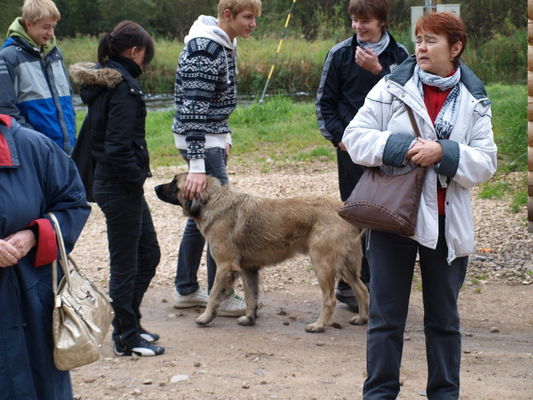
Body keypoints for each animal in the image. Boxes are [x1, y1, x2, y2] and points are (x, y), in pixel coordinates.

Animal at [156, 173, 368, 332]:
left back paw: (319, 325)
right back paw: (361, 319)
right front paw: (249, 318)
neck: (212, 201)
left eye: (174, 184)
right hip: (346, 266)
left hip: (322, 264)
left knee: (330, 299)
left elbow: (214, 294)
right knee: (362, 290)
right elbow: (251, 296)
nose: (155, 188)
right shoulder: (248, 269)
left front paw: (206, 317)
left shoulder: (225, 266)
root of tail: (342, 209)